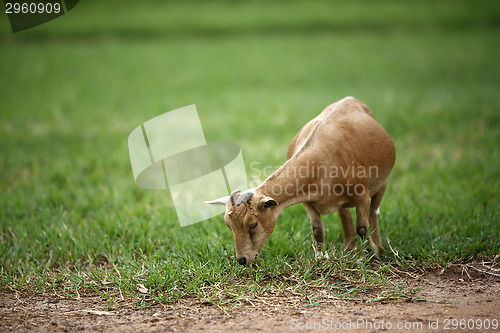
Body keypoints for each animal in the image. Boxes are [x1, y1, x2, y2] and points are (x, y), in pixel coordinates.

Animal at [205, 96, 396, 264]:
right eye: (229, 226)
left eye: (253, 224)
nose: (242, 260)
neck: (322, 162)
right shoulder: (308, 200)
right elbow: (317, 230)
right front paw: (321, 257)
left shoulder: (361, 193)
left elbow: (362, 227)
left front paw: (368, 255)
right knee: (344, 214)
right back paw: (349, 248)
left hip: (383, 183)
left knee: (374, 212)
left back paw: (377, 247)